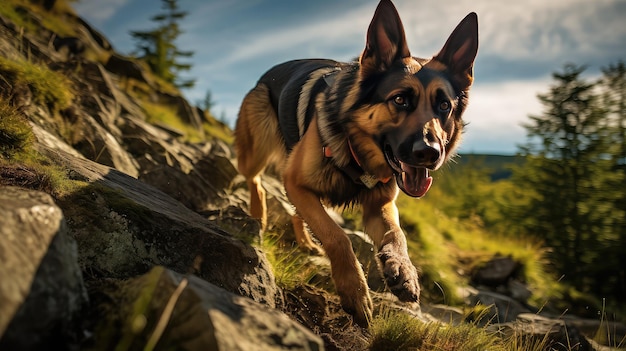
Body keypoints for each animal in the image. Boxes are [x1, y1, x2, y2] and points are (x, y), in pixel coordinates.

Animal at [235, 0, 478, 328]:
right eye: (400, 100)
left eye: (444, 106)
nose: (429, 152)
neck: (358, 153)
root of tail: (268, 72)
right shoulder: (298, 184)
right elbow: (337, 237)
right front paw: (355, 292)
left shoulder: (379, 206)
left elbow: (397, 234)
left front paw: (403, 270)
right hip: (256, 153)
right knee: (256, 181)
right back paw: (258, 215)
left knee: (294, 210)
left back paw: (305, 241)